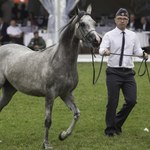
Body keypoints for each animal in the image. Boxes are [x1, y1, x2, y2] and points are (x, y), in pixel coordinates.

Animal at [0, 9, 101, 149]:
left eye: (94, 23)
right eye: (82, 24)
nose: (97, 40)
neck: (60, 61)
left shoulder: (66, 94)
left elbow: (76, 113)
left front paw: (63, 135)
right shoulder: (50, 95)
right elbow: (48, 121)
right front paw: (46, 144)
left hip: (9, 91)